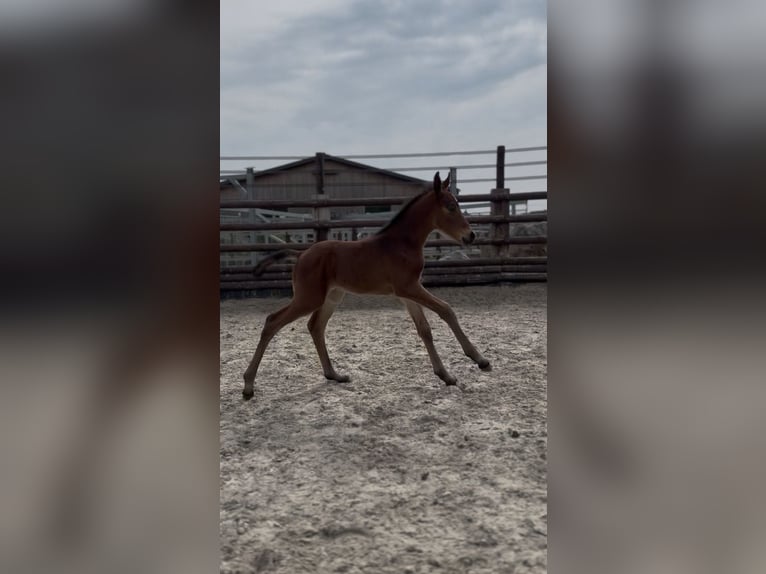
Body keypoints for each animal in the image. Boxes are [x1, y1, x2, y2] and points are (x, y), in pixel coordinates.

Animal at [242, 171, 491, 400]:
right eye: (450, 207)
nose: (471, 236)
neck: (401, 243)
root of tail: (301, 254)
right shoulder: (409, 287)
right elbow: (446, 310)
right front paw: (479, 359)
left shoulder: (406, 292)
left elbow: (424, 329)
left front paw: (445, 375)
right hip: (309, 298)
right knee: (272, 321)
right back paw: (248, 385)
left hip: (332, 296)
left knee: (315, 326)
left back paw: (334, 375)